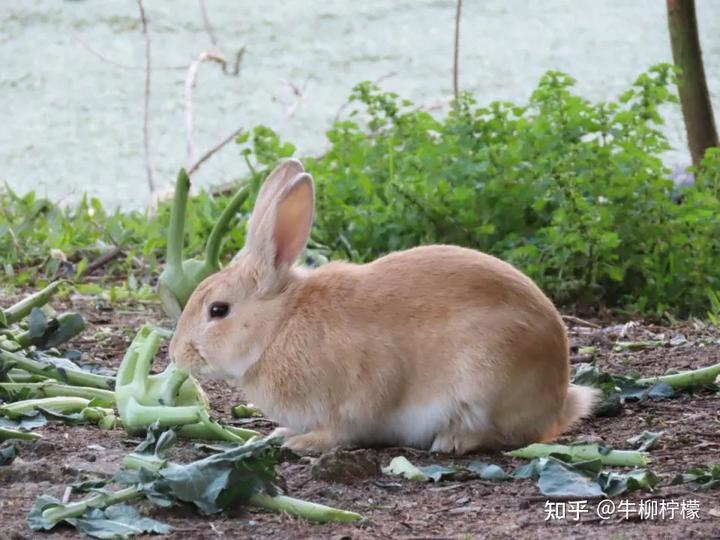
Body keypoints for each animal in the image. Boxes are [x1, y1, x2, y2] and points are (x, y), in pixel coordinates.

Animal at [167, 158, 596, 454]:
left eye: (218, 310)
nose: (175, 355)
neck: (278, 326)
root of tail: (559, 395)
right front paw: (282, 433)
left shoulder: (356, 395)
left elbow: (343, 429)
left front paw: (302, 444)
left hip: (487, 380)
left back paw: (453, 441)